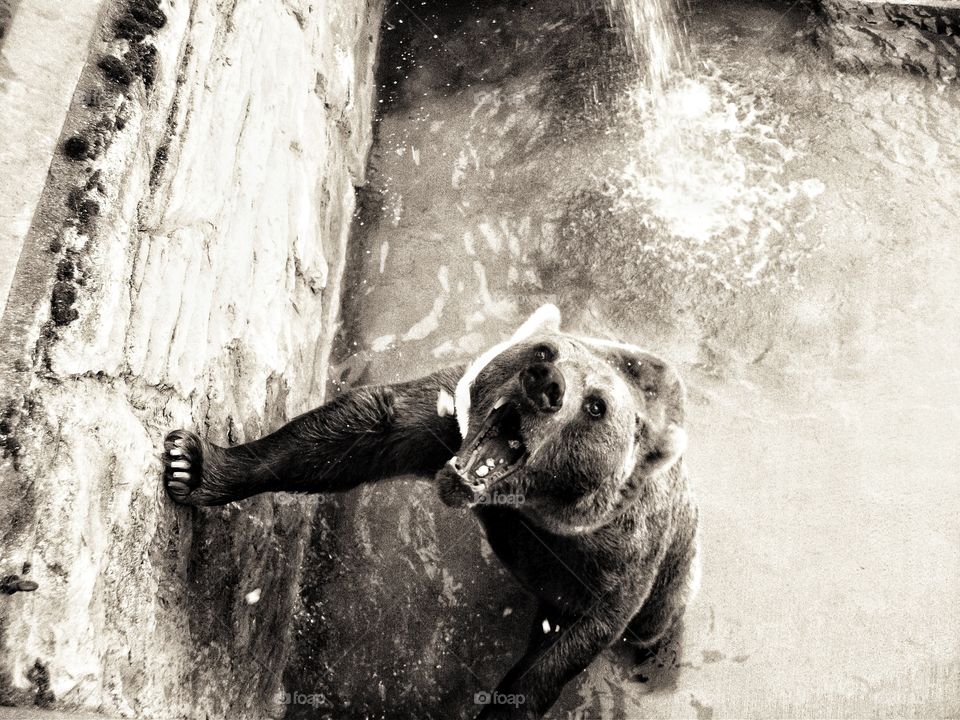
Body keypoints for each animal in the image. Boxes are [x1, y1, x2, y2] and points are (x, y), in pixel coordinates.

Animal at [162, 305, 699, 720]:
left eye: (596, 406)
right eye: (545, 351)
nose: (547, 383)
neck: (523, 505)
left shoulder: (608, 560)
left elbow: (565, 647)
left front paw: (507, 706)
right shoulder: (449, 421)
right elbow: (360, 430)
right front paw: (194, 464)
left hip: (673, 580)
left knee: (653, 624)